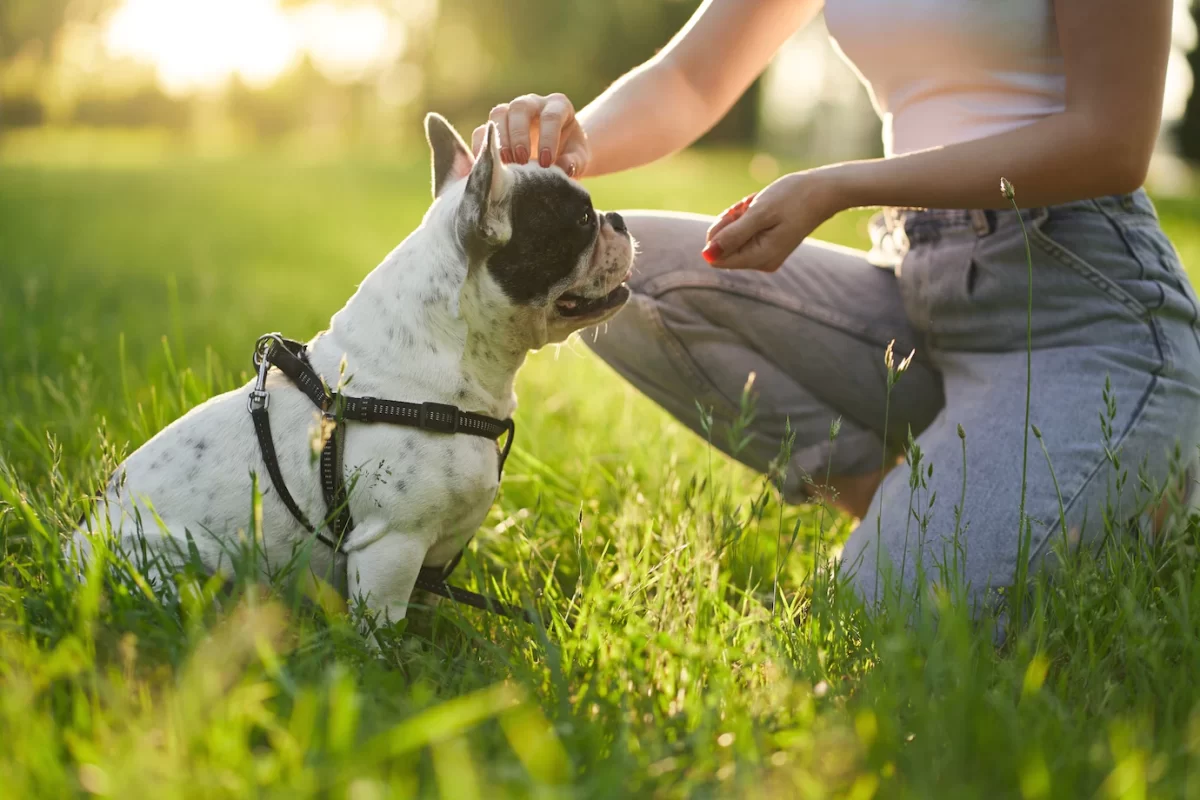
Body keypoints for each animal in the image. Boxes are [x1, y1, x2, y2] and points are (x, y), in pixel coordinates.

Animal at [71, 112, 638, 628]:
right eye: (581, 221)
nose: (618, 218)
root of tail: (73, 552)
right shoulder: (392, 547)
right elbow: (383, 630)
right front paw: (392, 666)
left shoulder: (431, 560)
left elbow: (424, 614)